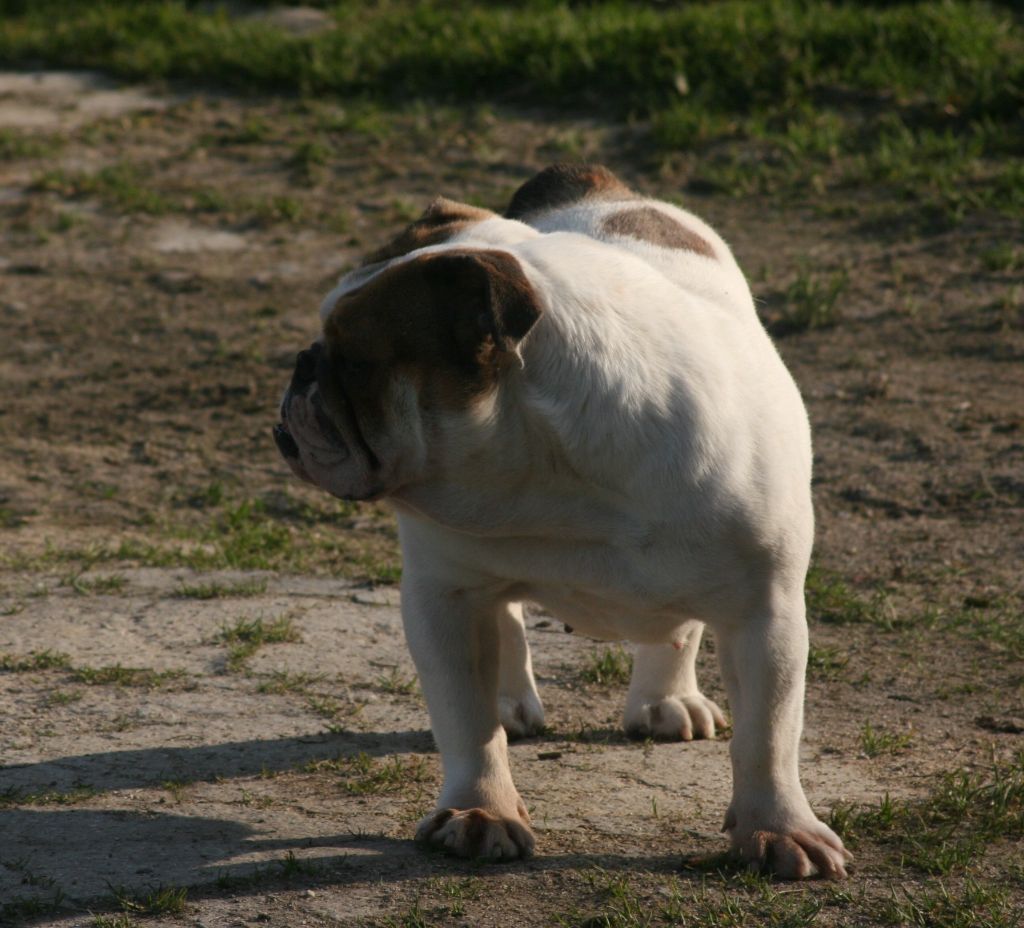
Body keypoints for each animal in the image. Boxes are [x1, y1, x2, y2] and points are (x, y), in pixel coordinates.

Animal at [273, 164, 850, 879]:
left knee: (677, 633)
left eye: (355, 362)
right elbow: (466, 720)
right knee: (503, 626)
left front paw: (779, 827)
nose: (302, 365)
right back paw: (509, 700)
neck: (550, 470)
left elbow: (769, 734)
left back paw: (666, 699)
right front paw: (480, 811)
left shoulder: (764, 611)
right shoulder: (444, 595)